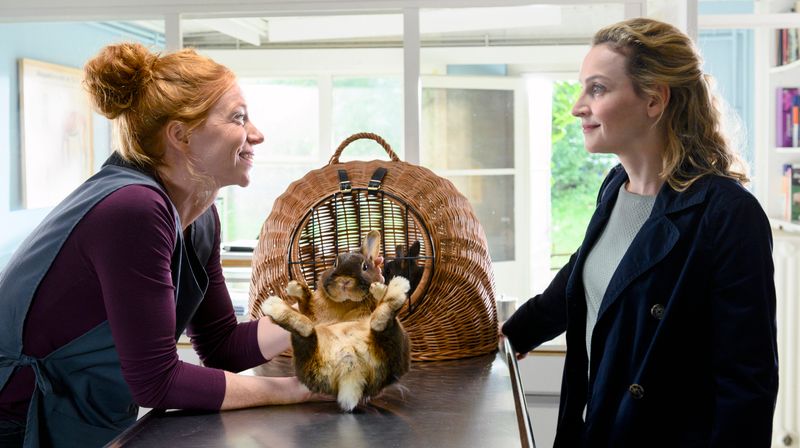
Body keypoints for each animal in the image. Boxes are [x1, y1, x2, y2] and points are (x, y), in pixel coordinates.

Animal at [262, 229, 412, 412]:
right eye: (334, 263)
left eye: (365, 267)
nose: (345, 280)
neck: (346, 303)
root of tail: (351, 369)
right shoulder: (315, 314)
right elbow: (306, 303)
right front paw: (295, 287)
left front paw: (378, 288)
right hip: (310, 361)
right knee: (307, 332)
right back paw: (275, 307)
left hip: (397, 343)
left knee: (381, 321)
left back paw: (398, 287)